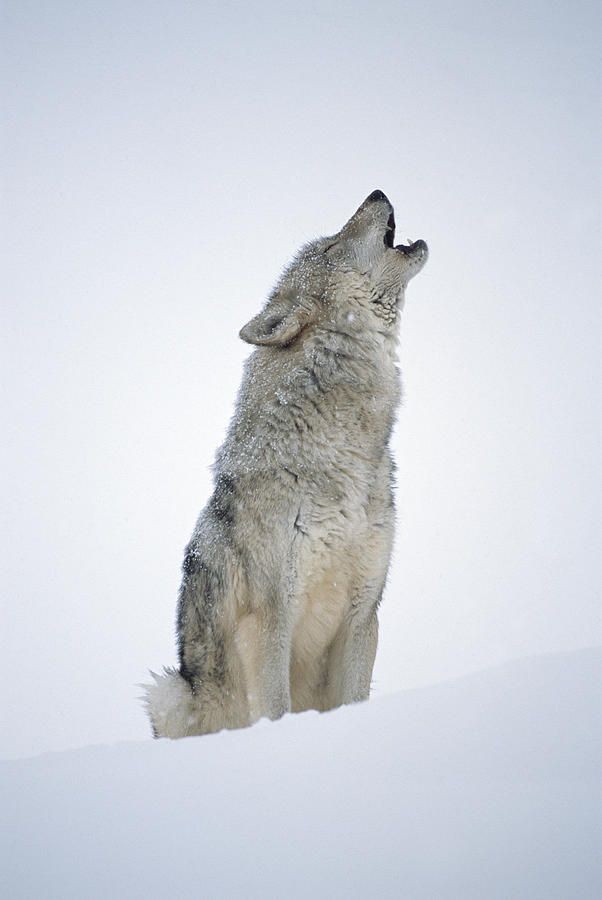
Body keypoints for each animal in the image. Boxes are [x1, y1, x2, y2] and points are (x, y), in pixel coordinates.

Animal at [142, 190, 424, 740]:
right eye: (333, 245)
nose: (377, 193)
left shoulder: (364, 614)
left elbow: (355, 697)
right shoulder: (269, 620)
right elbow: (275, 707)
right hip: (169, 692)